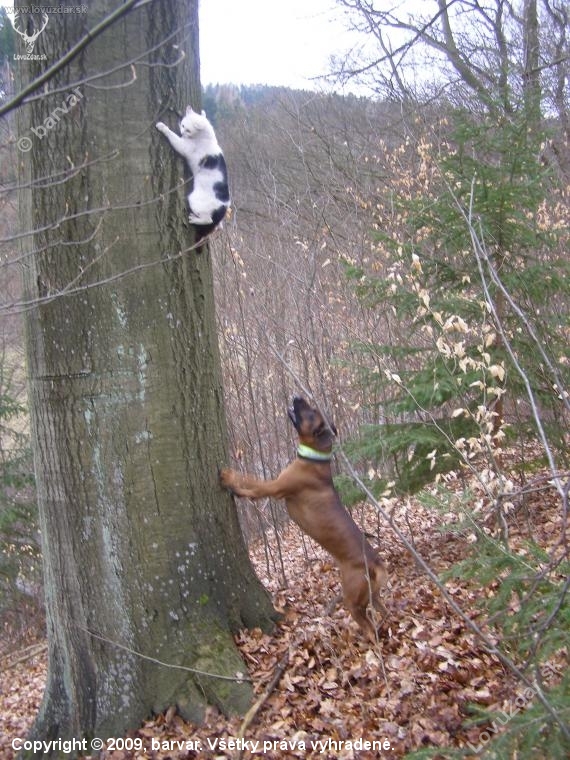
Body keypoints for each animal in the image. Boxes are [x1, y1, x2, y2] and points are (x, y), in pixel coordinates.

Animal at [156, 107, 230, 244]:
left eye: (188, 129)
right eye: (183, 125)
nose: (181, 131)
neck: (205, 137)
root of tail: (224, 206)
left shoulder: (183, 146)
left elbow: (171, 135)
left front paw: (162, 126)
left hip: (194, 201)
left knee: (208, 219)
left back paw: (194, 219)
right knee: (217, 225)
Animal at [220, 395, 388, 642]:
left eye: (310, 414)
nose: (297, 397)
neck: (315, 459)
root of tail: (376, 563)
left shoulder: (275, 487)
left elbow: (251, 481)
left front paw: (229, 477)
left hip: (352, 597)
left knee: (368, 627)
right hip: (373, 596)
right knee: (382, 611)